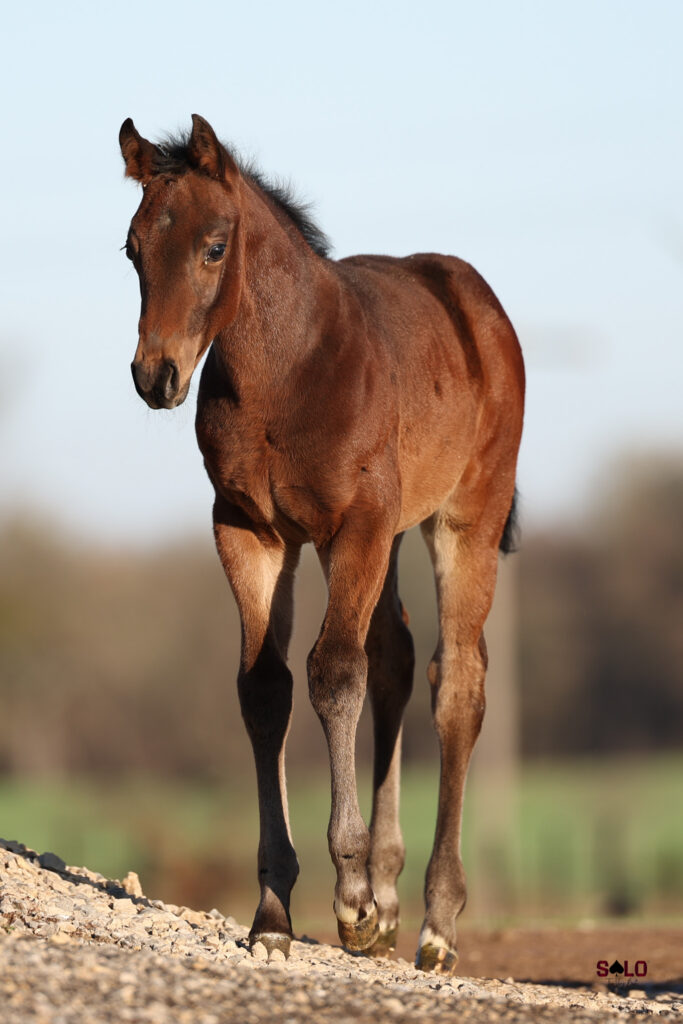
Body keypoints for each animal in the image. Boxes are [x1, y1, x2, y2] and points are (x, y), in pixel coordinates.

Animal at [119, 114, 524, 974]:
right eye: (132, 249)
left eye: (213, 247)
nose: (155, 376)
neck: (289, 372)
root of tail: (476, 301)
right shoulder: (250, 531)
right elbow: (264, 687)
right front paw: (275, 913)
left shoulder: (353, 527)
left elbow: (334, 673)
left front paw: (351, 898)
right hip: (396, 532)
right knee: (397, 658)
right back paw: (394, 896)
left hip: (462, 520)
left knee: (456, 684)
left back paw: (436, 921)